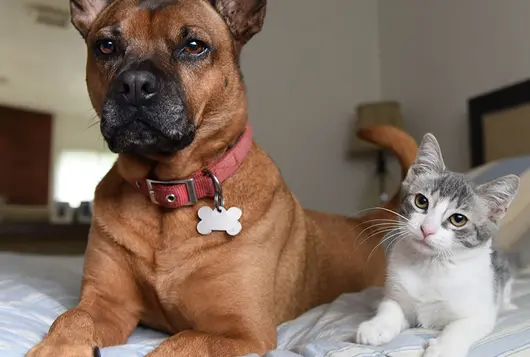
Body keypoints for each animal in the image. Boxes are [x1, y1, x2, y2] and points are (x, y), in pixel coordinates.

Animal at [24, 0, 414, 356]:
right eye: (106, 46)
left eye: (194, 45)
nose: (134, 85)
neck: (169, 193)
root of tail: (370, 220)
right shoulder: (105, 303)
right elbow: (71, 318)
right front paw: (56, 348)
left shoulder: (241, 330)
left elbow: (183, 342)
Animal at [352, 133, 516, 356]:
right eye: (421, 201)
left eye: (458, 219)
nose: (426, 229)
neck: (430, 265)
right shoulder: (397, 294)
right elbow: (390, 306)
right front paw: (377, 326)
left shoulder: (480, 312)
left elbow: (460, 327)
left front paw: (444, 347)